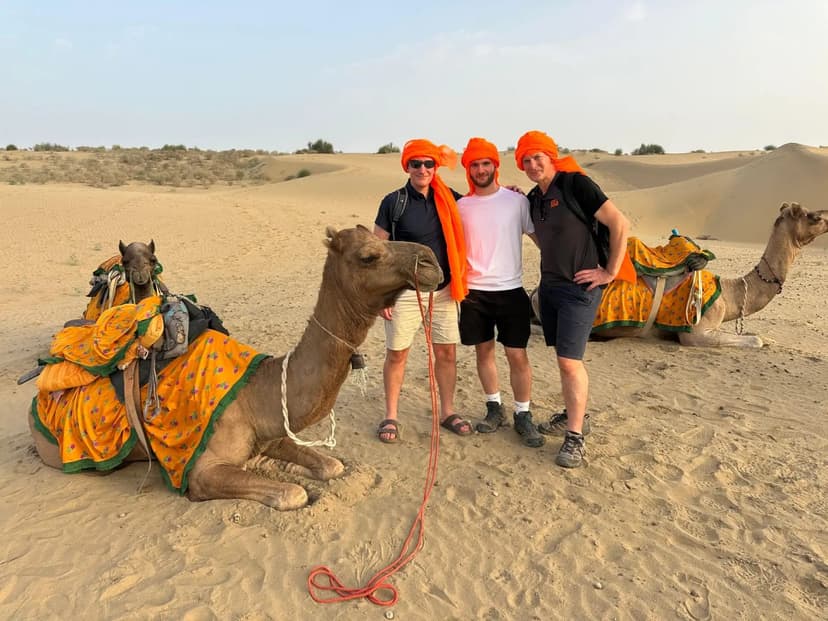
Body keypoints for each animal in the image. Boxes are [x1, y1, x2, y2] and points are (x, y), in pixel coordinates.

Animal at [29, 225, 442, 510]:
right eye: (369, 255)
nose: (432, 262)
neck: (256, 393)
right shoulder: (201, 470)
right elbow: (292, 494)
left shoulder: (273, 430)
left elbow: (331, 466)